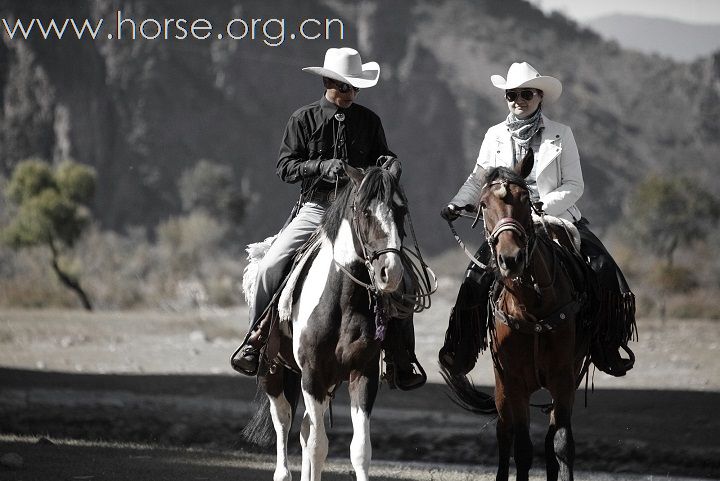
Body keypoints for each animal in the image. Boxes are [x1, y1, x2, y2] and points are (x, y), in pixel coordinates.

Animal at [243, 162, 408, 480]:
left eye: (402, 210)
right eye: (365, 211)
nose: (390, 272)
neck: (342, 300)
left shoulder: (363, 373)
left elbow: (359, 450)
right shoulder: (312, 374)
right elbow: (318, 445)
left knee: (306, 428)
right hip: (272, 372)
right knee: (285, 423)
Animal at [442, 153, 592, 480]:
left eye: (525, 199)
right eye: (484, 204)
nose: (510, 259)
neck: (532, 306)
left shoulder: (564, 377)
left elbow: (561, 443)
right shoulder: (512, 381)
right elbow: (522, 447)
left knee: (548, 439)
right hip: (502, 389)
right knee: (504, 432)